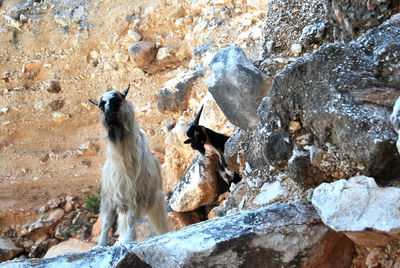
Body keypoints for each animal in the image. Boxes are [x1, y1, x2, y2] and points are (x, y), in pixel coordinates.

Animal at [90, 85, 170, 245]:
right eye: (101, 106)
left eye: (117, 101)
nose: (109, 117)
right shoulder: (110, 198)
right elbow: (106, 223)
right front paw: (100, 245)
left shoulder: (137, 197)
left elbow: (132, 221)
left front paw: (128, 242)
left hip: (155, 201)